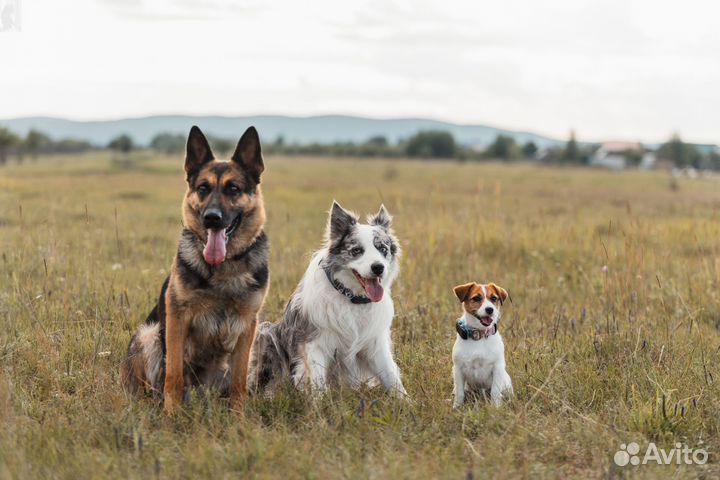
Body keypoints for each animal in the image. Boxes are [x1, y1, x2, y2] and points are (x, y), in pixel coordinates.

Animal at [122, 124, 268, 412]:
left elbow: (238, 382)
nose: (211, 218)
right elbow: (173, 376)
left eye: (233, 188)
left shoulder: (248, 325)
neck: (223, 267)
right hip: (149, 335)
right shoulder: (177, 318)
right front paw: (170, 414)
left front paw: (239, 417)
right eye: (203, 188)